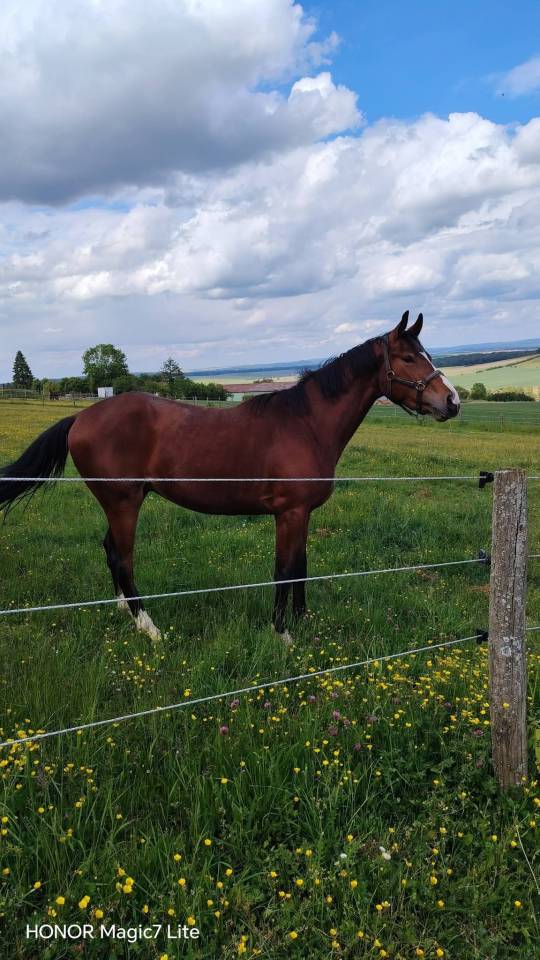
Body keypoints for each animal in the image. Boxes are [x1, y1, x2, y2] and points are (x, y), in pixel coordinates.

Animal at [0, 311, 460, 641]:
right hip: (123, 502)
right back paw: (149, 628)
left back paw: (124, 613)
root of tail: (81, 417)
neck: (305, 423)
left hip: (123, 502)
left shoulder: (304, 514)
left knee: (109, 548)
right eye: (408, 358)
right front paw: (282, 633)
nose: (452, 401)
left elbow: (302, 566)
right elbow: (284, 569)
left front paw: (304, 621)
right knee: (122, 557)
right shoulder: (289, 514)